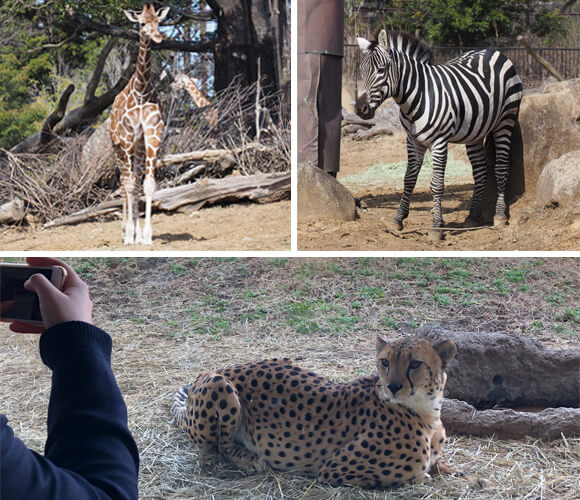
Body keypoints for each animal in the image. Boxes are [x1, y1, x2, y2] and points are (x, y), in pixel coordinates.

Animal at [170, 336, 460, 488]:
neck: (428, 412)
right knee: (220, 447)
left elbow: (437, 463)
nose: (393, 386)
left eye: (415, 364)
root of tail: (226, 367)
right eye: (385, 362)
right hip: (219, 385)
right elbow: (415, 475)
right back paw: (249, 459)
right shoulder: (334, 469)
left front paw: (449, 468)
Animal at [356, 30, 524, 233]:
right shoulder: (413, 141)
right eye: (361, 71)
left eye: (381, 70)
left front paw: (437, 226)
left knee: (500, 167)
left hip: (505, 120)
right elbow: (409, 179)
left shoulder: (439, 141)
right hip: (475, 131)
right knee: (480, 169)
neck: (417, 97)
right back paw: (472, 217)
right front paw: (398, 219)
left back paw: (499, 215)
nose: (360, 109)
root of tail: (493, 51)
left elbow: (436, 184)